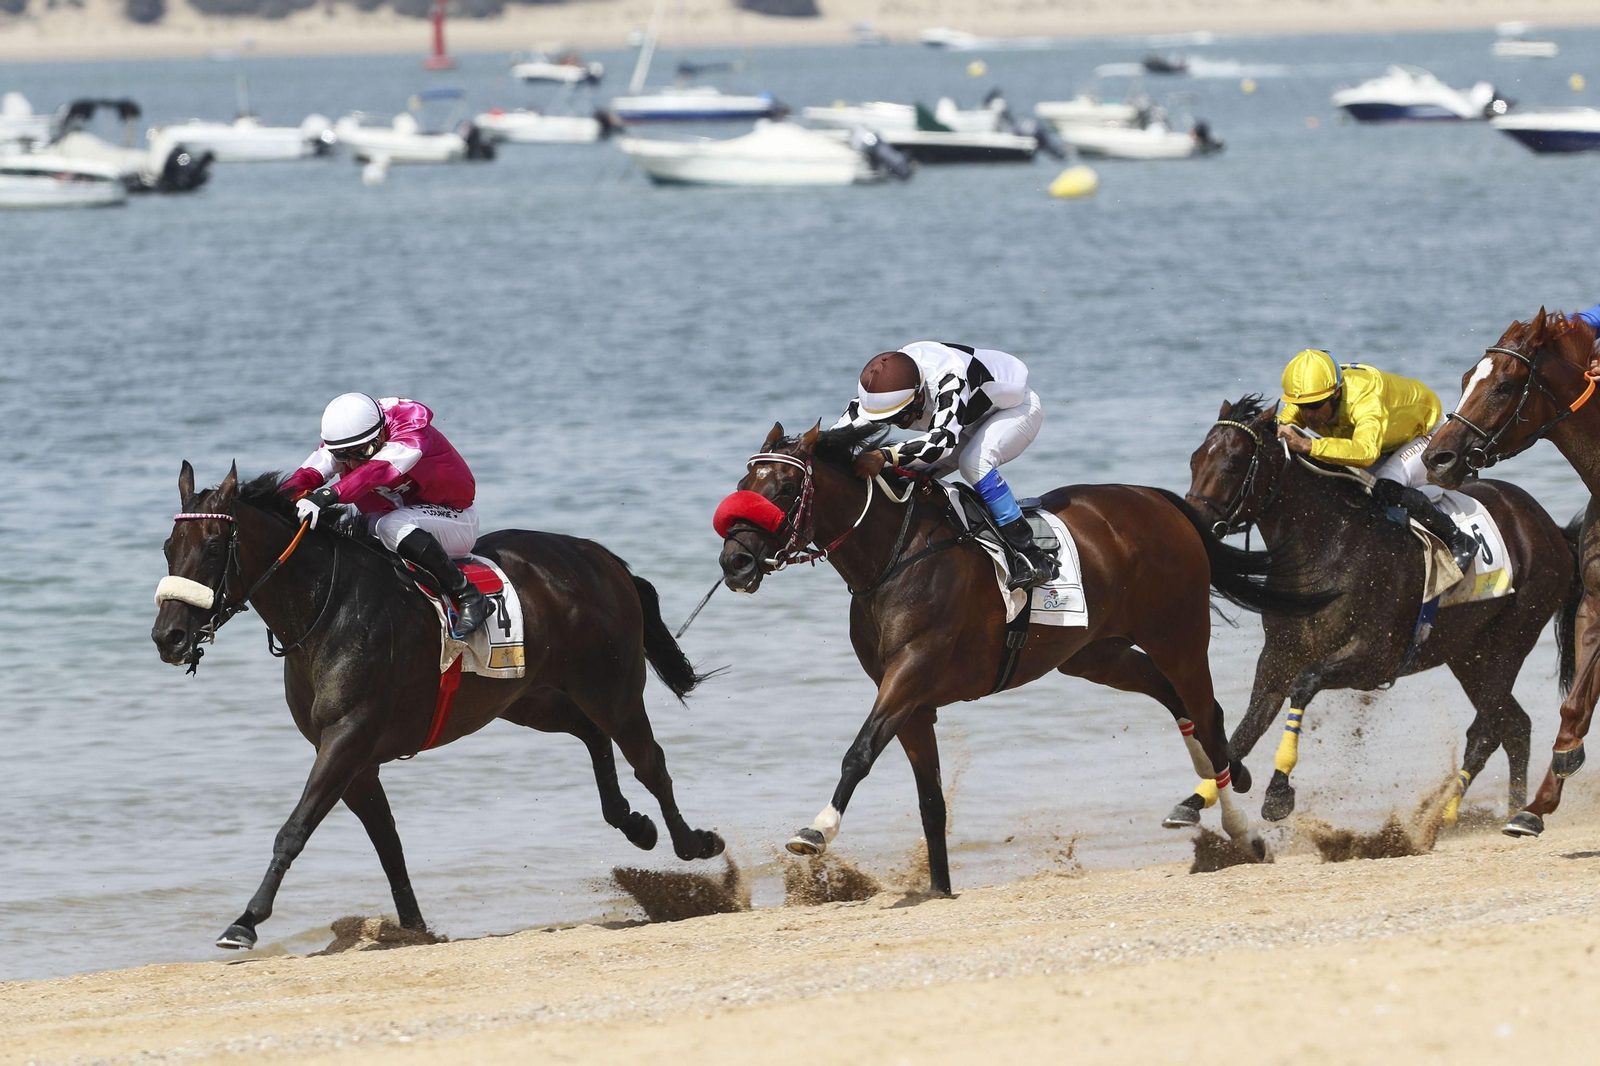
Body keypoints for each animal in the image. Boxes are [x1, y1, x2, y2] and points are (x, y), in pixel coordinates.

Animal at [152, 463, 725, 949]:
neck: (328, 607)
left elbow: (294, 830)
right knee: (591, 735)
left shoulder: (347, 737)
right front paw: (413, 927)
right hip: (530, 698)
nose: (168, 637)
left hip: (612, 687)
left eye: (212, 547)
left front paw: (245, 921)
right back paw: (634, 823)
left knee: (649, 761)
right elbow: (388, 845)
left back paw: (693, 843)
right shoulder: (353, 758)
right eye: (166, 547)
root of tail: (603, 558)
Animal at [714, 421, 1332, 895]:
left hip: (1177, 633)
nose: (734, 562)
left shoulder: (910, 673)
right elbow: (930, 799)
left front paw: (816, 830)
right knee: (1176, 699)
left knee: (1205, 710)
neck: (895, 557)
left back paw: (1241, 827)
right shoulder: (912, 702)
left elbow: (859, 753)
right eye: (746, 483)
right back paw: (1219, 781)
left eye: (786, 488)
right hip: (1095, 653)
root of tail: (1160, 501)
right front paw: (939, 887)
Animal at [1186, 395, 1579, 826]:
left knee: (1488, 731)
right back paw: (1512, 808)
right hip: (1468, 654)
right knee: (1516, 726)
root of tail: (1550, 528)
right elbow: (1247, 726)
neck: (1327, 544)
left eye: (1232, 463)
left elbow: (1304, 685)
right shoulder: (1279, 653)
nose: (1194, 525)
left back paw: (1439, 819)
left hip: (1513, 637)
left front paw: (1277, 792)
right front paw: (1194, 800)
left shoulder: (1373, 658)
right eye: (1194, 459)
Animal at [1422, 308, 1600, 836]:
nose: (1437, 457)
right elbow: (1575, 705)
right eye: (1466, 378)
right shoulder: (1592, 603)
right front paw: (1535, 806)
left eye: (1504, 385)